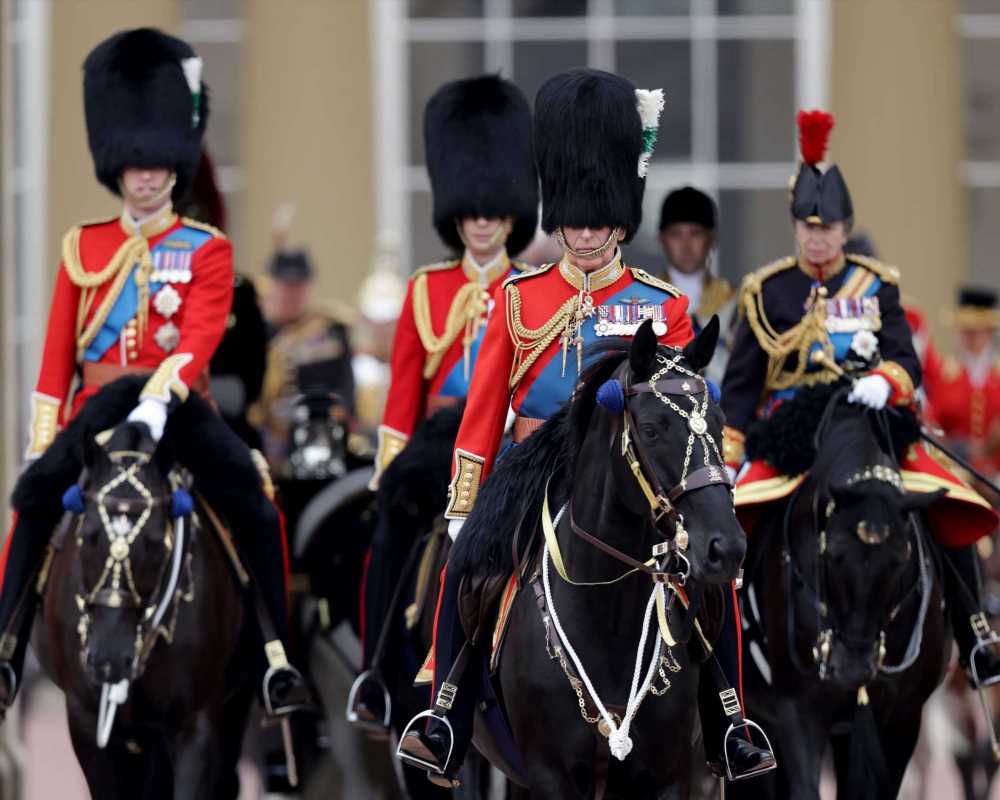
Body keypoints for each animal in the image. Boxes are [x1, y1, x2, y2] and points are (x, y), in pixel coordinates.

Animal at [450, 320, 748, 800]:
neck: (608, 613)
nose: (726, 549)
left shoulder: (669, 776)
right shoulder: (550, 775)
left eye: (721, 426)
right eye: (651, 429)